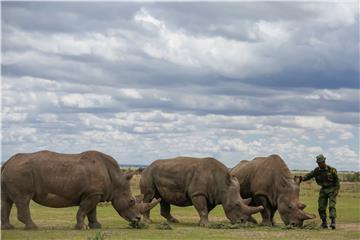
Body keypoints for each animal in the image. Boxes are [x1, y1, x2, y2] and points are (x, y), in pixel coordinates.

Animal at [0, 151, 160, 230]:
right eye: (132, 201)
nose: (138, 219)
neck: (116, 180)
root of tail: (7, 162)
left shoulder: (94, 193)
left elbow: (92, 212)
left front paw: (96, 227)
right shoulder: (91, 194)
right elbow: (84, 210)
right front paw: (82, 228)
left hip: (13, 171)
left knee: (7, 200)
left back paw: (8, 228)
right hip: (20, 172)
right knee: (23, 200)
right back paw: (33, 228)